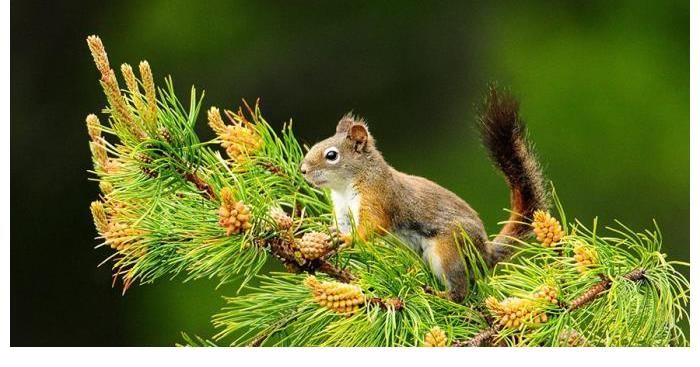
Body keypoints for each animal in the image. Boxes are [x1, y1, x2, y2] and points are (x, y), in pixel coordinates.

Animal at [296, 88, 548, 302]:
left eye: (331, 155)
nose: (303, 170)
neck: (345, 188)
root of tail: (485, 254)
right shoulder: (342, 210)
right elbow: (342, 227)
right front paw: (328, 236)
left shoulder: (377, 197)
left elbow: (373, 225)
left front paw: (349, 239)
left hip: (449, 250)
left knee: (460, 291)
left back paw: (441, 295)